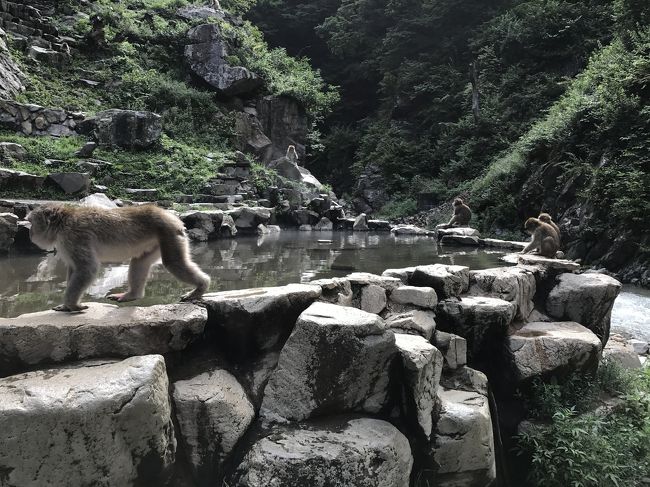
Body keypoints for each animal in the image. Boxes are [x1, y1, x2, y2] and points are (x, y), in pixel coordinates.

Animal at [26, 203, 209, 312]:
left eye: (31, 222)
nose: (30, 234)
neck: (62, 224)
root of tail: (172, 217)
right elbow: (74, 268)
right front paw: (66, 305)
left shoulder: (73, 236)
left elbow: (87, 269)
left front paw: (72, 305)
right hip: (157, 241)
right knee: (140, 261)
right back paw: (132, 295)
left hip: (168, 233)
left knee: (173, 263)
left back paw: (201, 286)